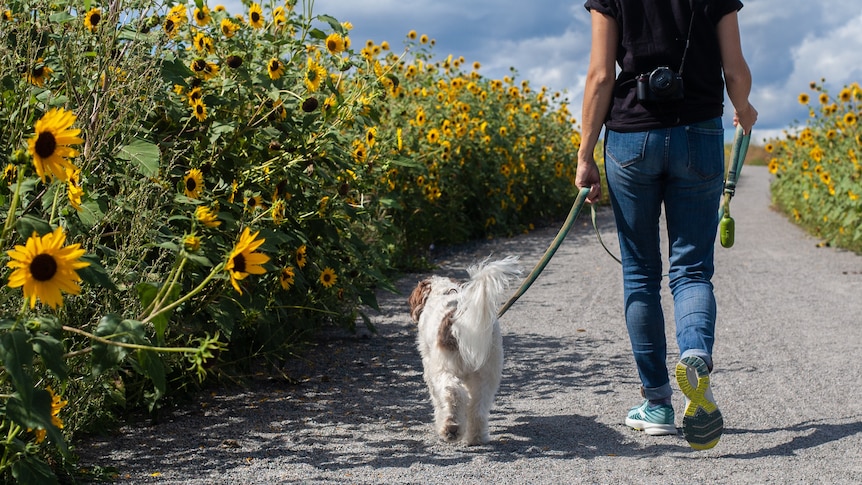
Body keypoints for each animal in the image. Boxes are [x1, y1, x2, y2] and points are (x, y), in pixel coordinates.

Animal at [410, 255, 524, 444]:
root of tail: (458, 317)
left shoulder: (430, 367)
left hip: (444, 368)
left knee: (453, 393)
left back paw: (451, 428)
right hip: (487, 372)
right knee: (478, 407)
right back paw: (476, 437)